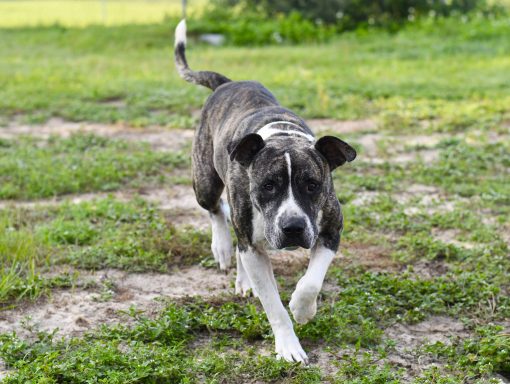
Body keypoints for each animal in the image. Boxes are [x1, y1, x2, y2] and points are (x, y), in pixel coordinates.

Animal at [173, 20, 356, 364]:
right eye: (268, 186)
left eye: (312, 185)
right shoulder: (255, 245)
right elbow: (273, 305)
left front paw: (303, 308)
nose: (293, 227)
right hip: (204, 182)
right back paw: (222, 248)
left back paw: (243, 279)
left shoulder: (330, 230)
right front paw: (288, 345)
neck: (282, 136)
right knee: (218, 211)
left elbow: (312, 280)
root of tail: (227, 84)